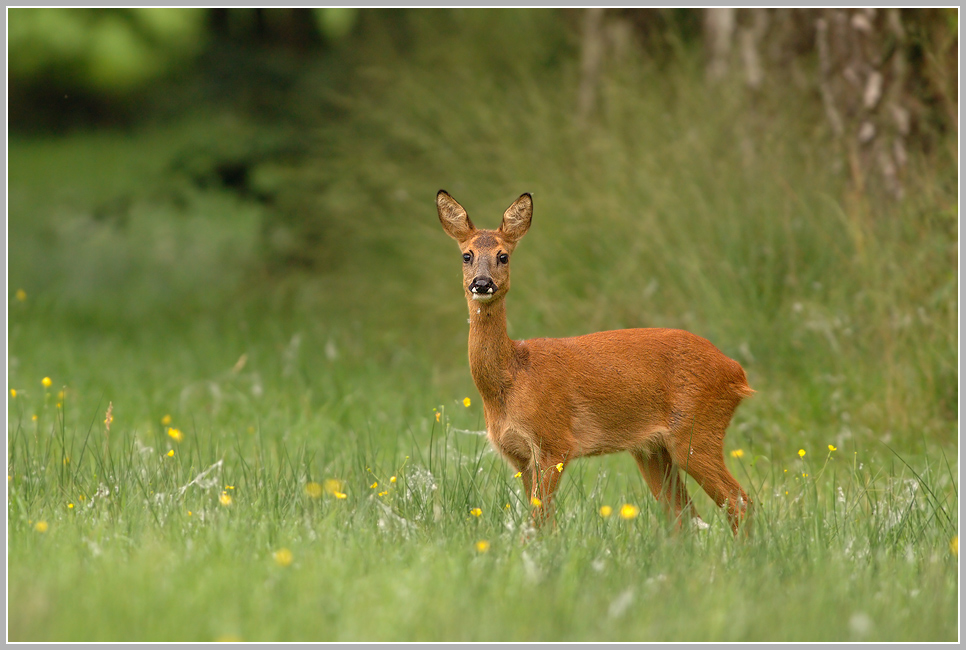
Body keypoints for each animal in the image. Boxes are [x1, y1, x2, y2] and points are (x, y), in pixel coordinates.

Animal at [438, 190, 756, 536]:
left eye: (503, 256)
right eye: (466, 255)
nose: (482, 283)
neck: (511, 377)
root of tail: (737, 372)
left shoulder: (553, 442)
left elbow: (539, 520)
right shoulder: (519, 456)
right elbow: (542, 520)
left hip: (697, 430)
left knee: (739, 501)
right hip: (652, 448)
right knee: (684, 515)